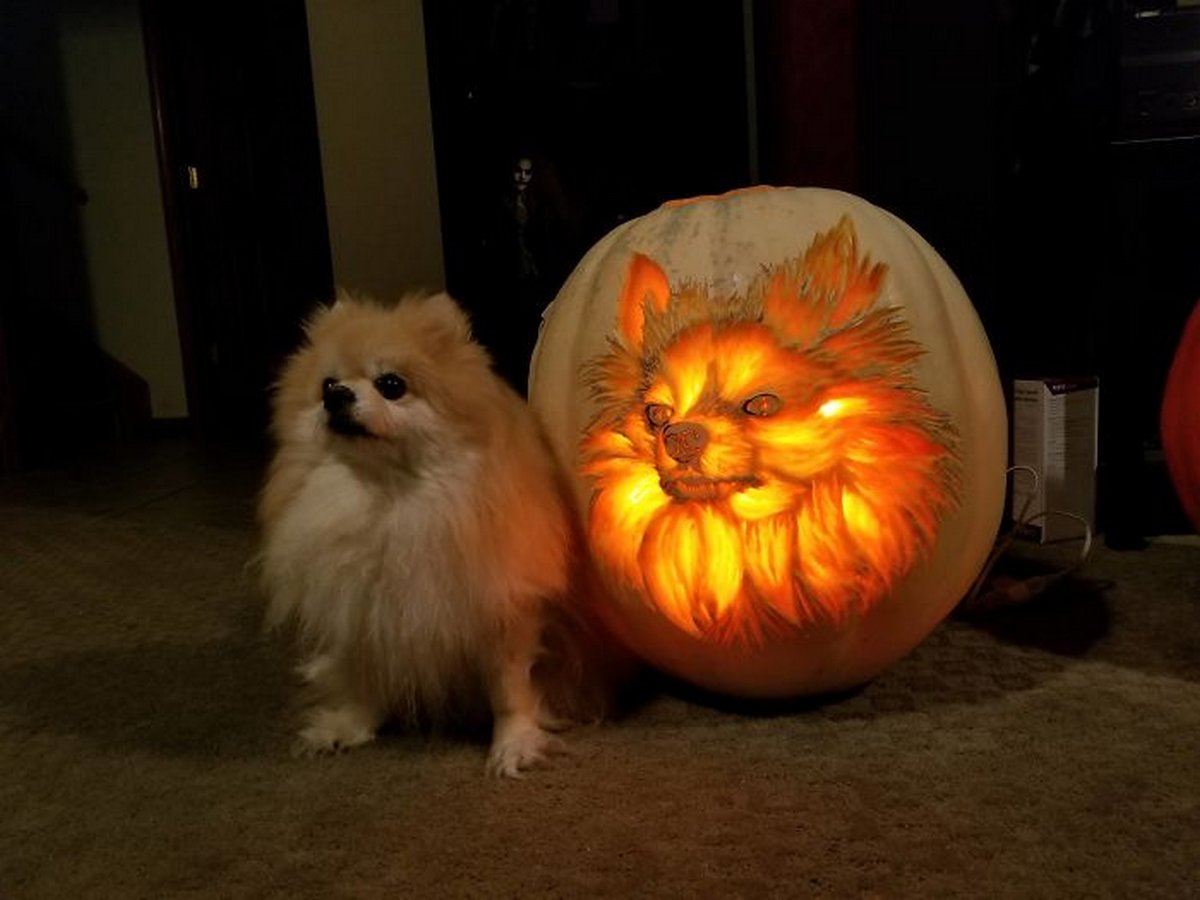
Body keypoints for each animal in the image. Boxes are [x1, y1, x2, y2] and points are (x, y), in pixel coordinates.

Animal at [256, 292, 604, 777]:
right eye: (327, 384)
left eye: (391, 384)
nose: (337, 396)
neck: (389, 500)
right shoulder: (365, 610)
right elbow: (364, 676)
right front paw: (347, 725)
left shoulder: (503, 615)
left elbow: (509, 690)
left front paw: (513, 744)